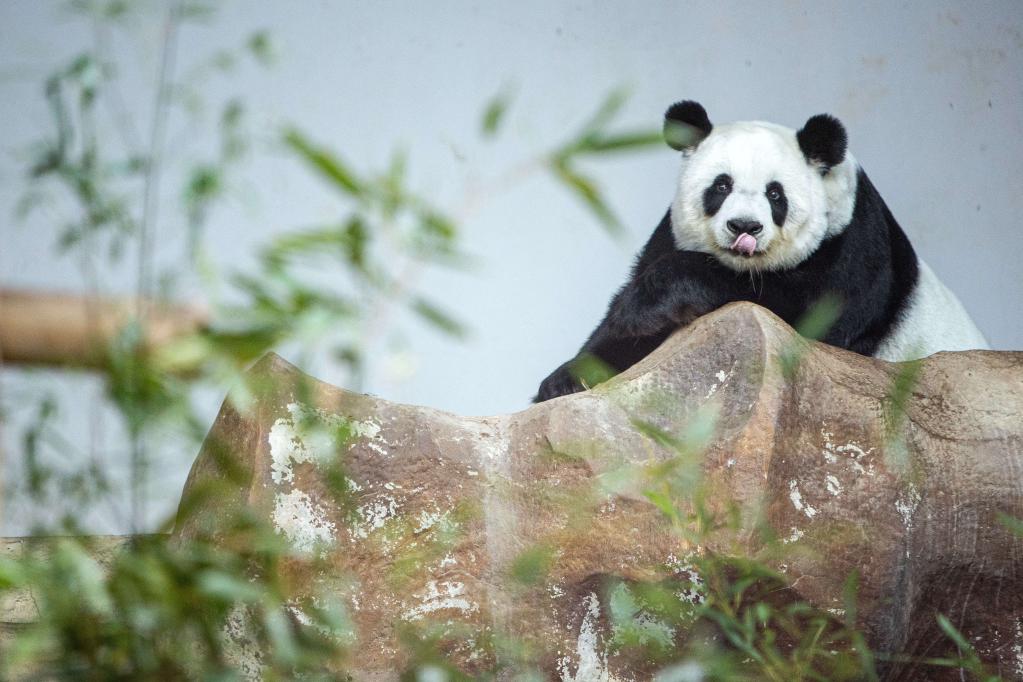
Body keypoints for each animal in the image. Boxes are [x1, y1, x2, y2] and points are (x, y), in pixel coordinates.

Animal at [540, 98, 986, 402]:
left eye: (775, 194)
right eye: (721, 186)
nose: (744, 227)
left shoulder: (853, 248)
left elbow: (798, 309)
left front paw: (645, 304)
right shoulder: (670, 234)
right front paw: (565, 380)